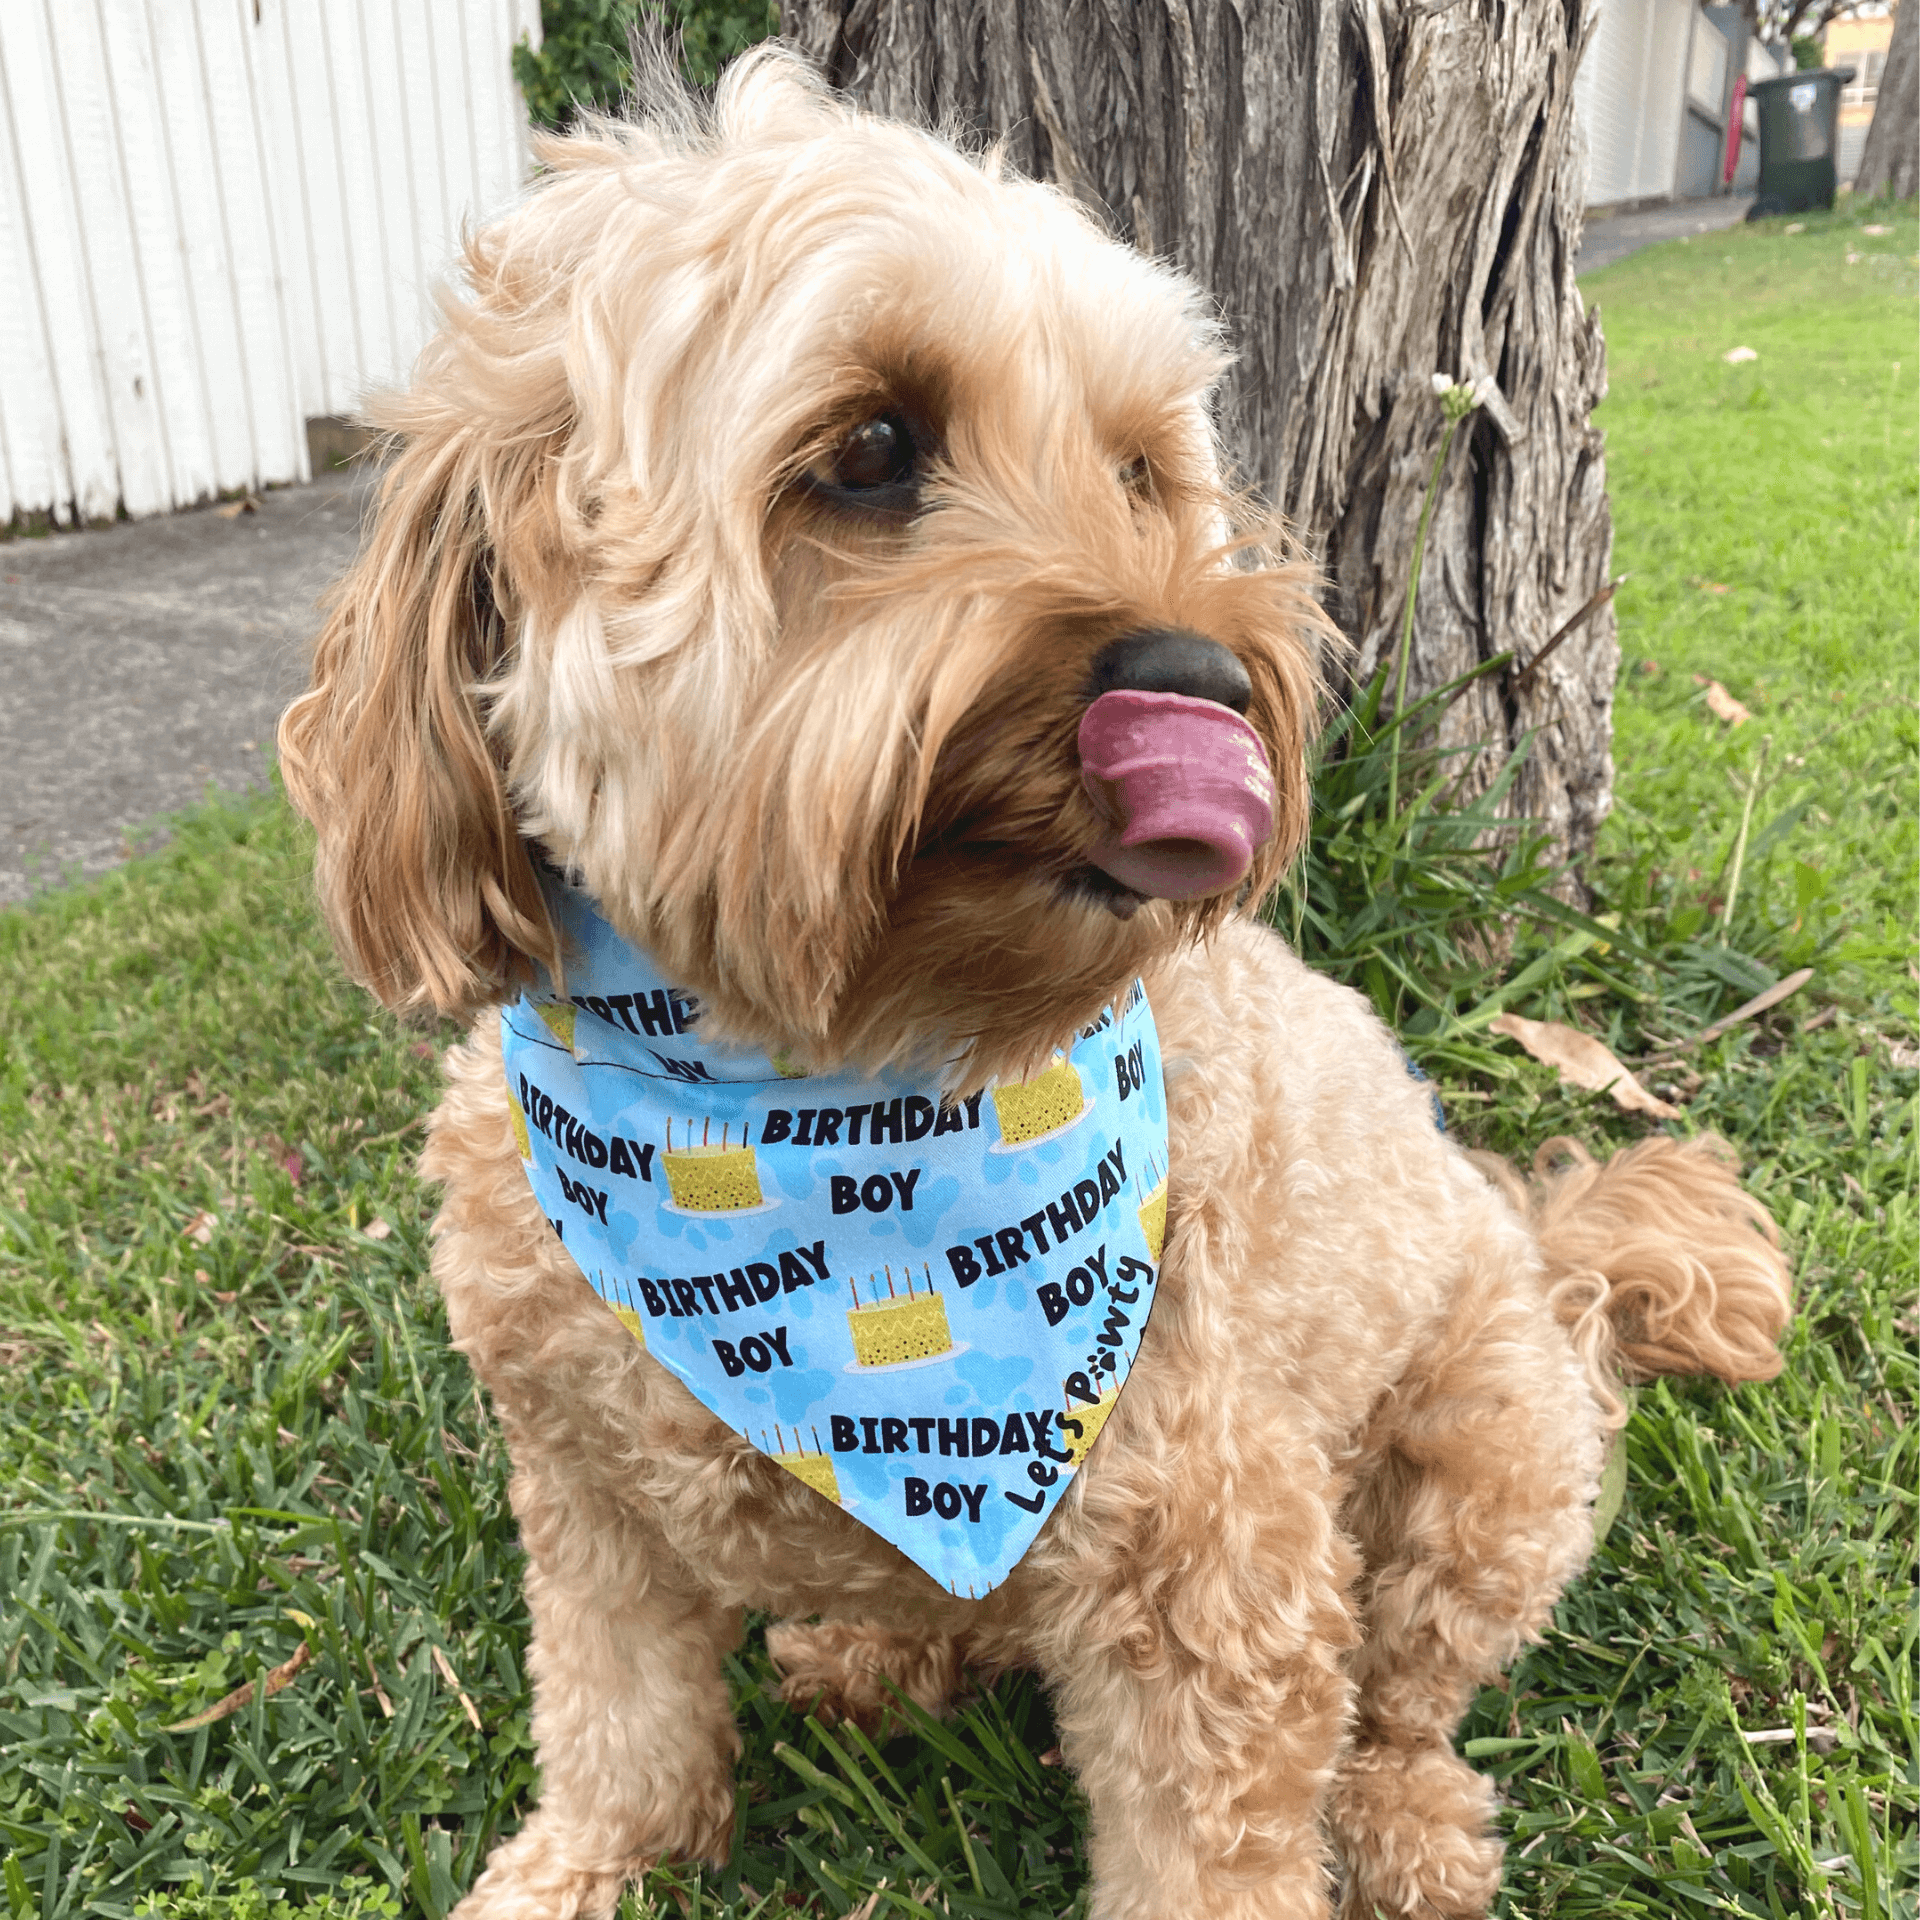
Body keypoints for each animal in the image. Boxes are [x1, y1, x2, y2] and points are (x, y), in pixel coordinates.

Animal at [278, 52, 1789, 1920]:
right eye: (870, 447)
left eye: (1141, 470)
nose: (1211, 679)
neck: (818, 1081)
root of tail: (1545, 1239)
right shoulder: (584, 1498)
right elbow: (620, 1722)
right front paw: (581, 1868)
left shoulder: (1207, 1558)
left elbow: (1222, 1841)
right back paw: (875, 1653)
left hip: (1483, 1455)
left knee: (1414, 1683)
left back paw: (1405, 1819)